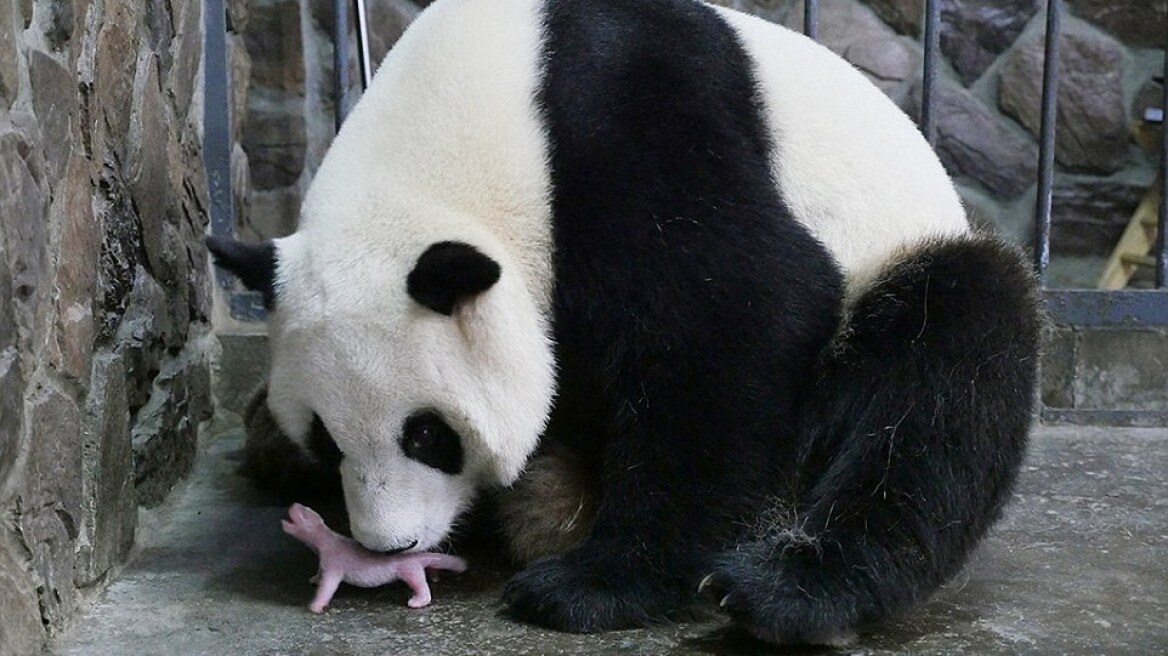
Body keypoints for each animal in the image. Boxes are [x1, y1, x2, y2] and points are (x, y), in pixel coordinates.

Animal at [207, 0, 1041, 644]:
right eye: (326, 438)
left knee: (947, 370)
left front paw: (594, 586)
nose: (391, 544)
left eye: (428, 435)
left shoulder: (623, 121)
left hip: (900, 270)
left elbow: (743, 314)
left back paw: (789, 591)